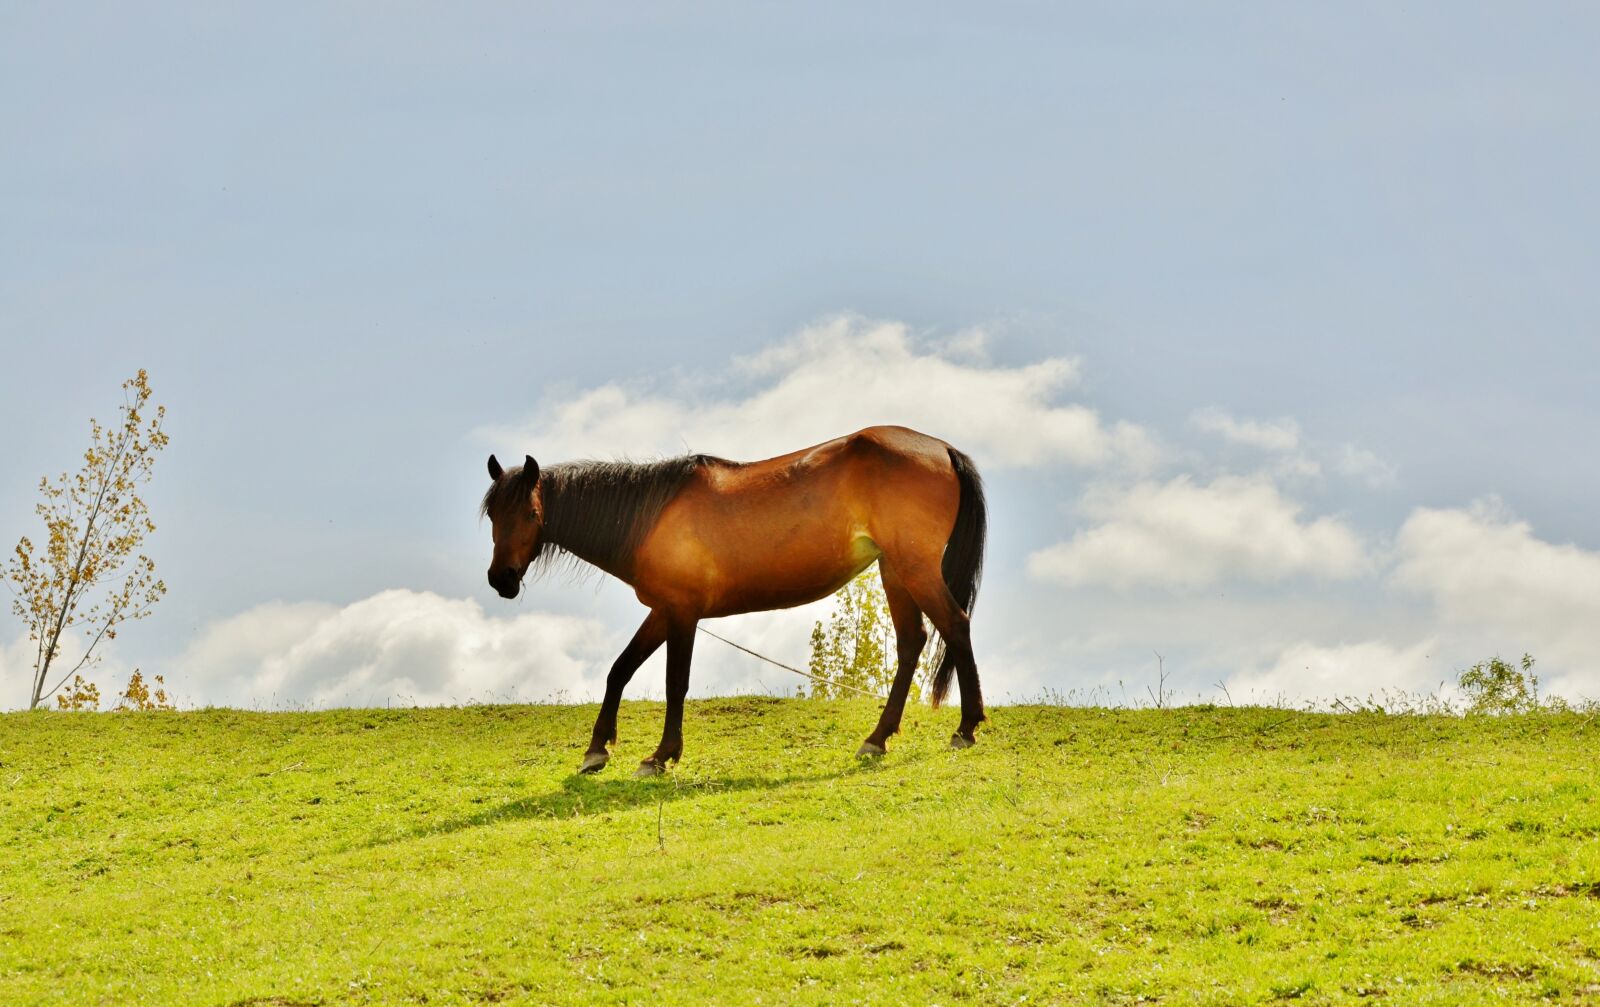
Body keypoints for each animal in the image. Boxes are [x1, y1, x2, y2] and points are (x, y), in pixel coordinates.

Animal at [480, 425, 987, 777]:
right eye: (492, 515)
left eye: (531, 514)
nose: (501, 579)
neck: (650, 516)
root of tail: (942, 448)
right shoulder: (662, 610)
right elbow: (619, 670)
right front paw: (597, 750)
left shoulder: (683, 614)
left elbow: (674, 683)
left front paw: (661, 756)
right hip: (894, 571)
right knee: (912, 642)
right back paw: (877, 739)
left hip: (914, 568)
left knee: (955, 625)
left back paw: (965, 729)